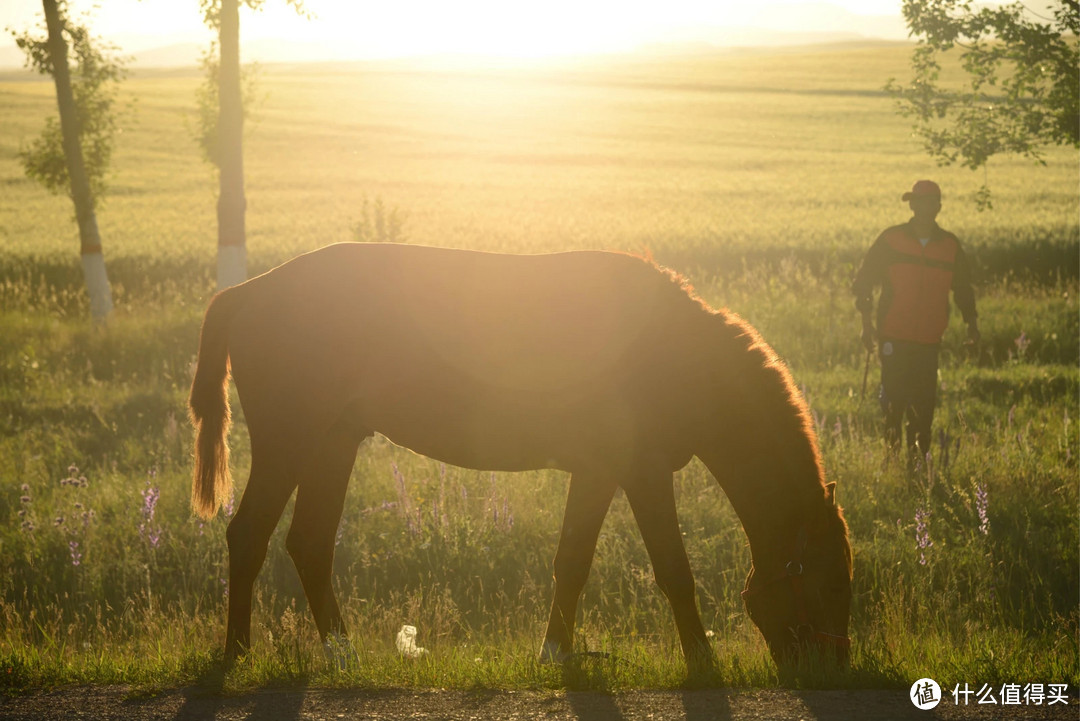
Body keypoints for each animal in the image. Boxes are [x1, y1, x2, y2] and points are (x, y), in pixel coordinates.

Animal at [192, 241, 851, 669]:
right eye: (830, 581)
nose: (835, 668)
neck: (677, 352)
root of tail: (246, 292)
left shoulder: (596, 472)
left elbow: (573, 562)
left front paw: (555, 651)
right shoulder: (640, 473)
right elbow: (673, 570)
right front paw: (702, 658)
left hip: (334, 442)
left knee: (309, 543)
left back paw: (342, 653)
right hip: (290, 441)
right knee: (248, 535)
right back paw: (237, 653)